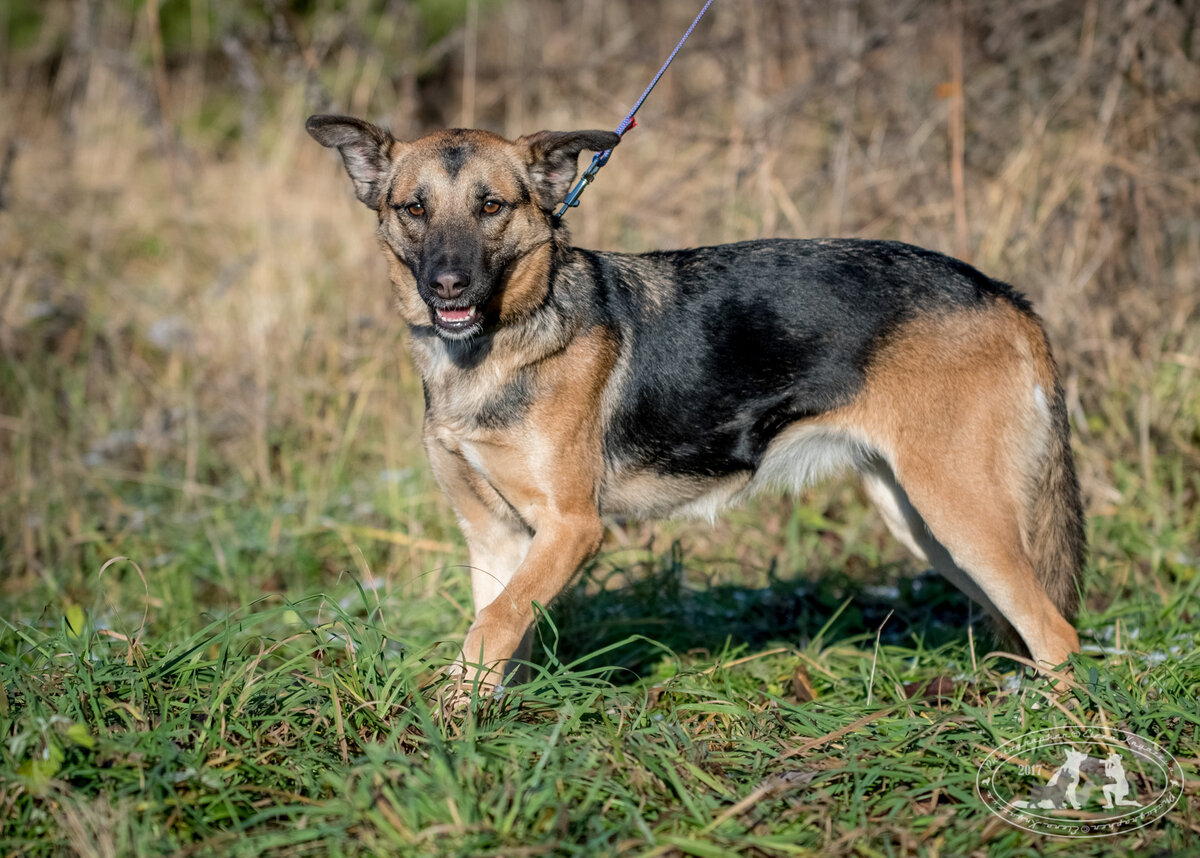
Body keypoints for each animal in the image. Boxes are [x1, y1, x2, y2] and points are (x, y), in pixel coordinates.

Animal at [307, 114, 1089, 691]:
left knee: (1059, 636)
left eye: (491, 206)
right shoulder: (496, 537)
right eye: (414, 209)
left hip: (960, 512)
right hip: (922, 521)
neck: (498, 346)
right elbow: (497, 635)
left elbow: (490, 629)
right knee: (1026, 628)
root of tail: (1003, 295)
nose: (448, 285)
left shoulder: (571, 528)